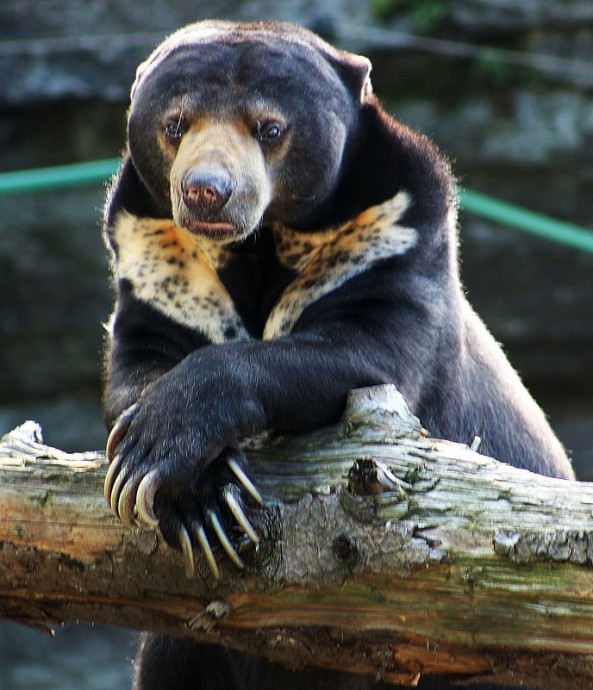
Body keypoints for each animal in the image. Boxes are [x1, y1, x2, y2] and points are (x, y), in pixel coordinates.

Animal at [103, 18, 572, 688]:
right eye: (175, 123)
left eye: (270, 128)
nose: (205, 194)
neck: (259, 246)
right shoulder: (156, 255)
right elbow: (137, 368)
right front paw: (201, 502)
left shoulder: (386, 235)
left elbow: (364, 352)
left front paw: (165, 451)